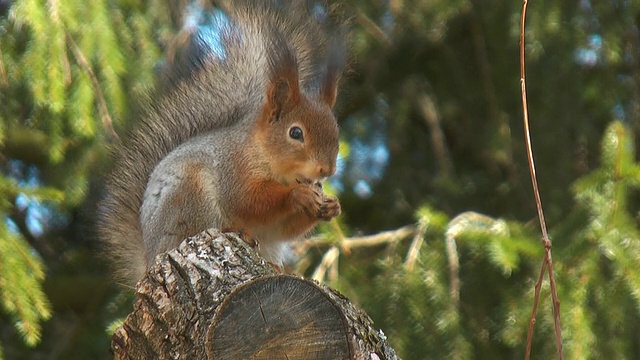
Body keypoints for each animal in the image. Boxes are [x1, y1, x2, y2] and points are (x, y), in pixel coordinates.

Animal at [99, 1, 348, 286]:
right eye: (295, 133)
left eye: (336, 131)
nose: (327, 170)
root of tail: (150, 259)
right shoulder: (233, 167)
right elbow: (248, 200)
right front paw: (297, 195)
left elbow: (283, 228)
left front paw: (331, 206)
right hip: (189, 197)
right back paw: (236, 230)